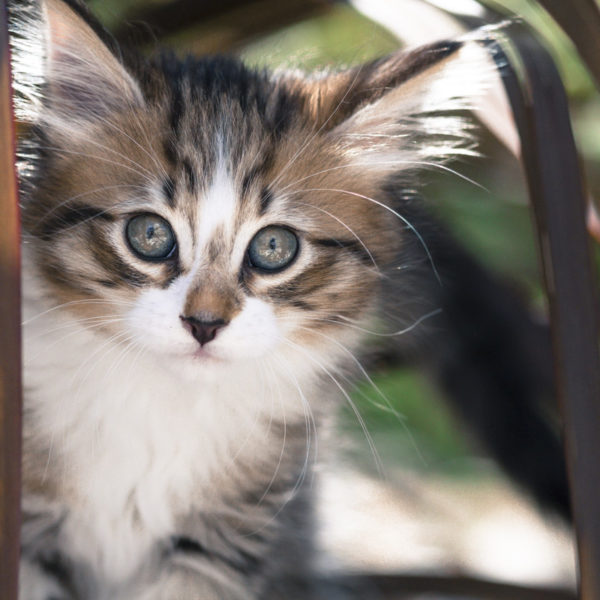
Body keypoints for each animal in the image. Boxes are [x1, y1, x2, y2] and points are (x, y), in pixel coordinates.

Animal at [9, 1, 564, 600]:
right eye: (149, 235)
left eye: (274, 247)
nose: (204, 324)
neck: (165, 403)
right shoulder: (27, 528)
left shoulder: (233, 536)